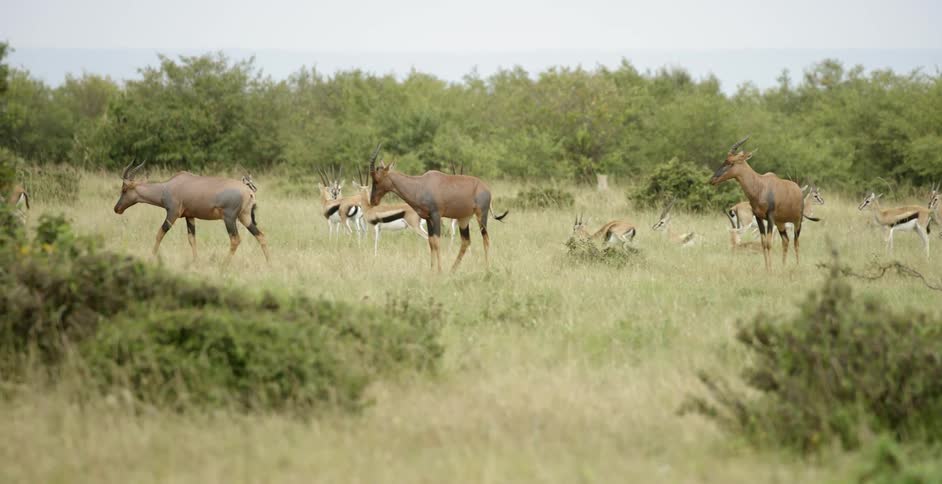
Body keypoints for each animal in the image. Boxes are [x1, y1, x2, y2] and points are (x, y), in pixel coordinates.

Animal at [113, 161, 271, 263]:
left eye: (124, 189)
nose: (117, 209)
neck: (168, 186)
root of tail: (249, 191)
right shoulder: (190, 216)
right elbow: (192, 239)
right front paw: (195, 261)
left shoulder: (172, 214)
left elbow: (159, 233)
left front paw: (151, 257)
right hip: (245, 217)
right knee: (261, 236)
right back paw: (268, 263)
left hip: (229, 218)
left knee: (235, 240)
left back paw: (224, 265)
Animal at [368, 143, 508, 272]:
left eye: (376, 179)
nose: (373, 201)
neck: (421, 185)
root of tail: (486, 188)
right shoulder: (428, 218)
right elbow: (431, 242)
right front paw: (432, 270)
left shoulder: (436, 216)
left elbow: (437, 241)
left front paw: (439, 270)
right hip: (464, 218)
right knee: (466, 241)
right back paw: (452, 270)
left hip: (481, 215)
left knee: (486, 238)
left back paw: (487, 268)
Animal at [709, 136, 805, 270]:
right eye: (725, 160)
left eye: (731, 162)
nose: (712, 180)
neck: (761, 186)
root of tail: (798, 190)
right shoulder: (759, 217)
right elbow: (763, 243)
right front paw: (767, 268)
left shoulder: (770, 218)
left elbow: (769, 243)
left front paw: (770, 269)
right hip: (781, 223)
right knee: (785, 241)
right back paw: (783, 266)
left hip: (797, 221)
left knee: (796, 242)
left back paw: (796, 265)